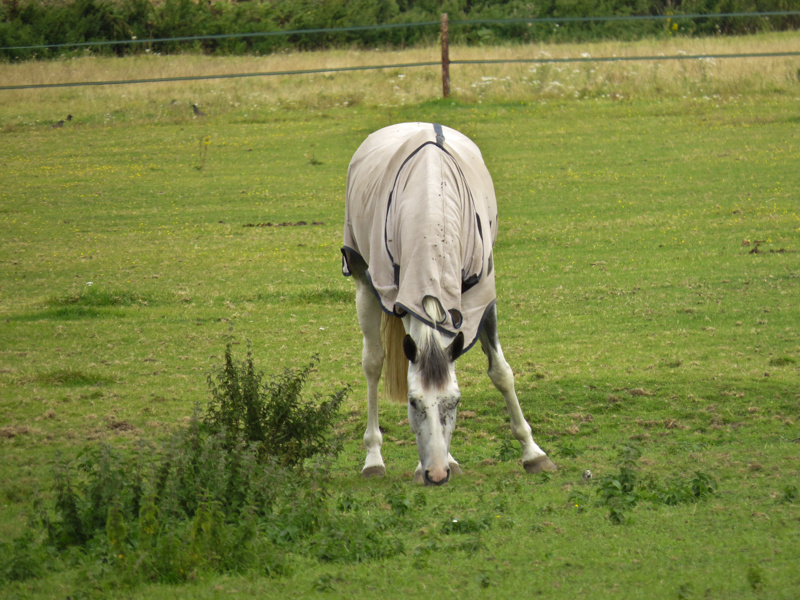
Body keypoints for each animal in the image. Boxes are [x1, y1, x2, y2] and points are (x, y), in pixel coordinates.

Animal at [342, 124, 556, 486]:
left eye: (455, 402)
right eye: (413, 402)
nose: (437, 473)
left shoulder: (481, 299)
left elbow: (501, 372)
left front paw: (533, 453)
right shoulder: (399, 295)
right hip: (362, 275)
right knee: (372, 363)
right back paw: (374, 459)